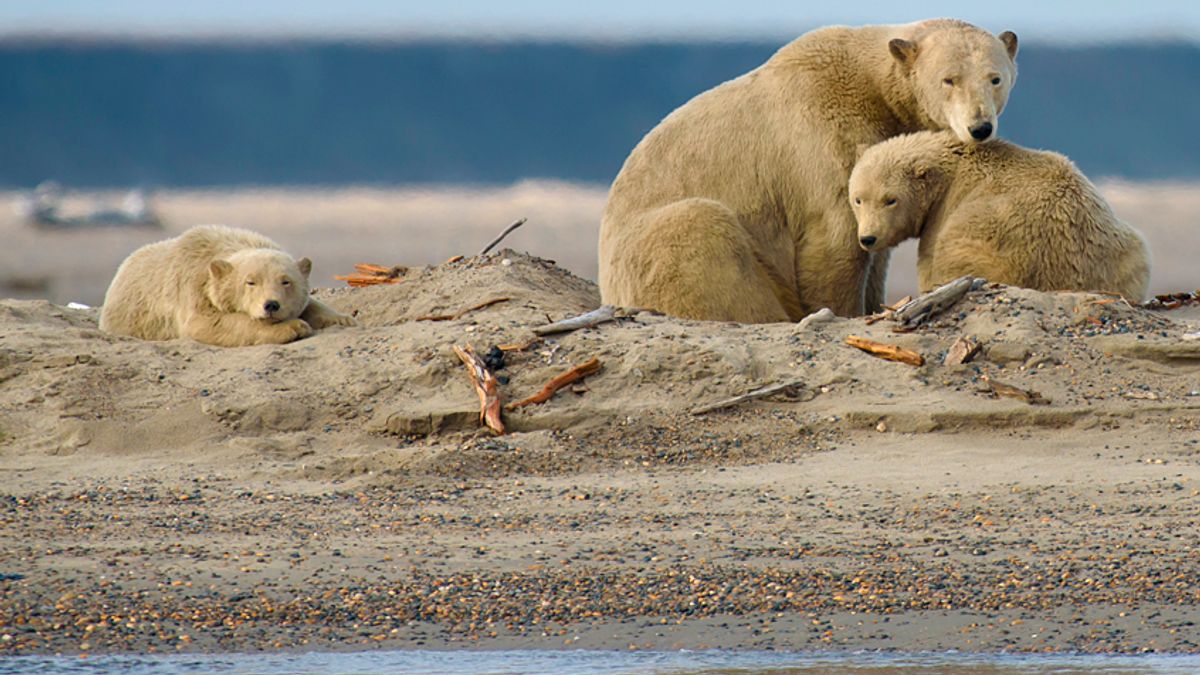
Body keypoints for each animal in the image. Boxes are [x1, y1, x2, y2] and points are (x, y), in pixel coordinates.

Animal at [100, 224, 352, 343]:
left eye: (286, 281)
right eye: (251, 282)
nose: (271, 305)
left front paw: (341, 318)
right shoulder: (193, 287)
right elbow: (207, 324)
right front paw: (293, 327)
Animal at [595, 17, 1017, 319]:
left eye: (995, 78)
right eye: (949, 79)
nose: (980, 127)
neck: (871, 88)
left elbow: (877, 246)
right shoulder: (821, 142)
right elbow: (836, 240)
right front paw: (842, 311)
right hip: (650, 248)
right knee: (700, 231)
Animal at [849, 130, 1147, 297]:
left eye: (890, 200)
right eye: (858, 199)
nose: (868, 238)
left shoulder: (944, 214)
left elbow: (929, 263)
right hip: (1123, 250)